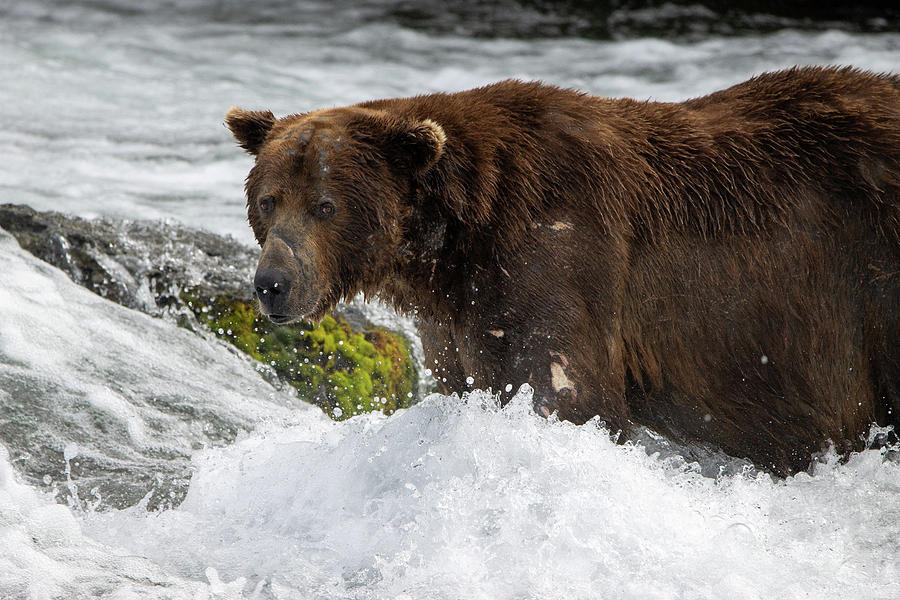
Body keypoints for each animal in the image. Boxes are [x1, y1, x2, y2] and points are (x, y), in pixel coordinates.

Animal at [227, 65, 900, 476]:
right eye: (268, 200)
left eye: (325, 205)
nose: (272, 284)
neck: (455, 244)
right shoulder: (459, 318)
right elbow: (466, 380)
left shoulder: (558, 252)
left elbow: (570, 395)